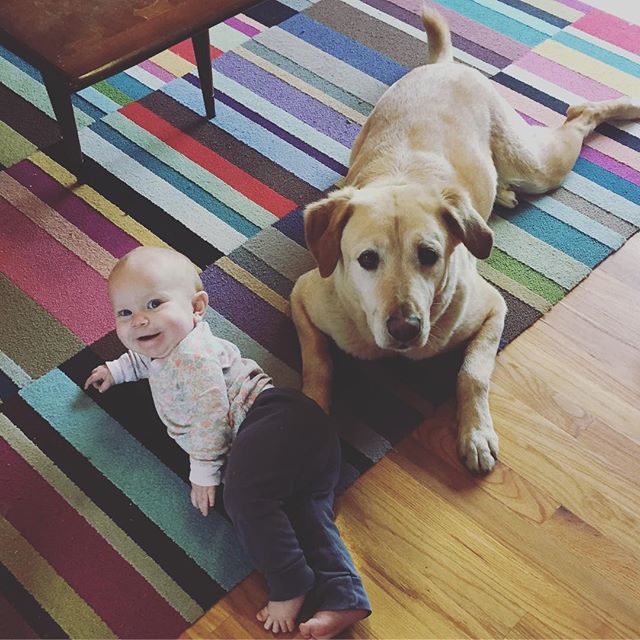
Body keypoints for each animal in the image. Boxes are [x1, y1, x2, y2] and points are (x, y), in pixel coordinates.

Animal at [292, 7, 640, 472]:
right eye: (367, 259)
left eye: (429, 255)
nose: (405, 328)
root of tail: (444, 66)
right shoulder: (304, 298)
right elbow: (317, 363)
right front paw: (310, 415)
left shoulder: (493, 309)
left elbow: (472, 374)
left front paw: (475, 434)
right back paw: (504, 192)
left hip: (536, 163)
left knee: (580, 114)